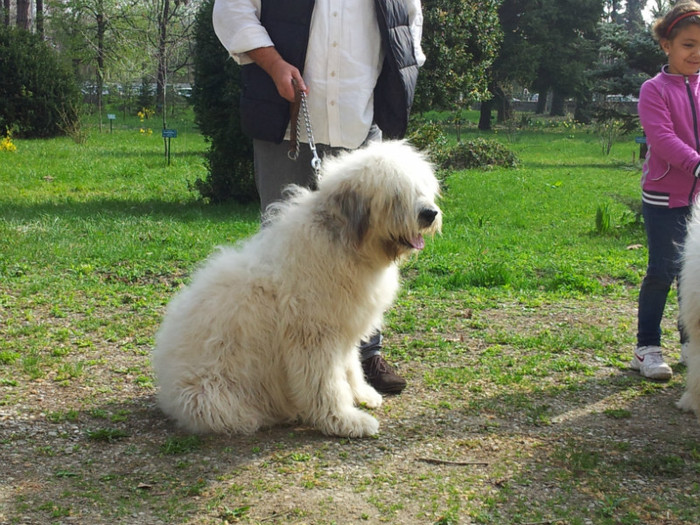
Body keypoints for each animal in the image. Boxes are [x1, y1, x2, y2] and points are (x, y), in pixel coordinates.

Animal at [152, 140, 440, 438]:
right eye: (396, 194)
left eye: (422, 188)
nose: (430, 214)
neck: (342, 241)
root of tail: (169, 393)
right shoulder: (313, 336)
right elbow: (327, 383)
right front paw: (344, 419)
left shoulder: (344, 328)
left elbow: (350, 368)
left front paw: (361, 394)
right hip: (213, 395)